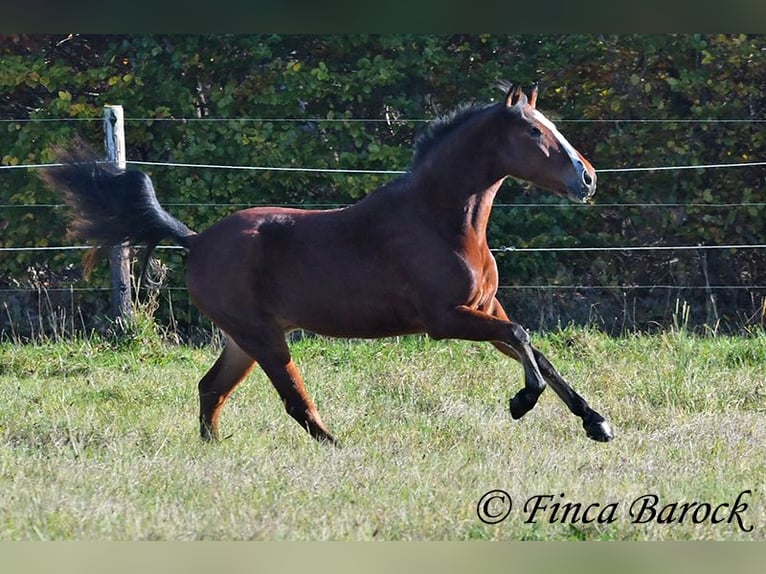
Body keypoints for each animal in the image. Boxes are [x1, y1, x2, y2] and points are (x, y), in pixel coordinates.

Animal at [45, 84, 616, 446]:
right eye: (535, 133)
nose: (587, 178)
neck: (440, 221)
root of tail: (195, 239)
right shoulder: (447, 320)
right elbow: (523, 338)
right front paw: (521, 403)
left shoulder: (484, 309)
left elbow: (539, 353)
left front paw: (597, 423)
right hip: (262, 338)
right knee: (294, 401)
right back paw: (339, 447)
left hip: (242, 340)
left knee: (211, 388)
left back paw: (213, 450)